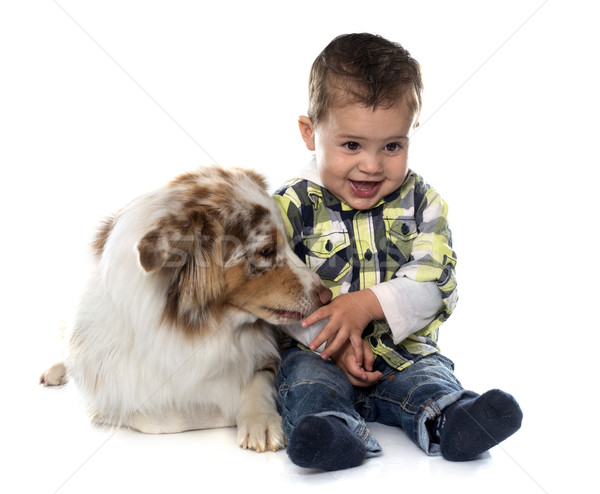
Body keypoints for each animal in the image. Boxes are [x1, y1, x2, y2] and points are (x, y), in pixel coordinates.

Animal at [39, 166, 330, 452]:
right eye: (267, 250)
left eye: (289, 243)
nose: (326, 295)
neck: (207, 328)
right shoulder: (109, 394)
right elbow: (162, 417)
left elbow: (256, 379)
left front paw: (261, 419)